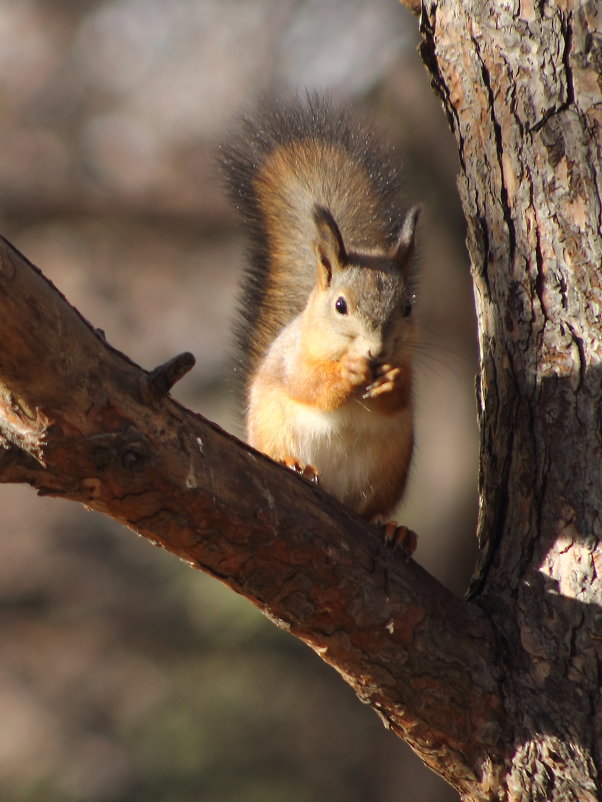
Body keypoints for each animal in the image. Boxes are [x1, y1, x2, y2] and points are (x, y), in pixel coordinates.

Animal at [219, 94, 418, 552]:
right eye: (340, 305)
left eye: (407, 307)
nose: (376, 351)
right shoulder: (293, 360)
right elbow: (309, 384)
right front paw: (347, 371)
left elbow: (403, 396)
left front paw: (391, 379)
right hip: (271, 430)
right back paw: (295, 464)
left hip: (390, 468)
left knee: (373, 509)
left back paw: (393, 528)